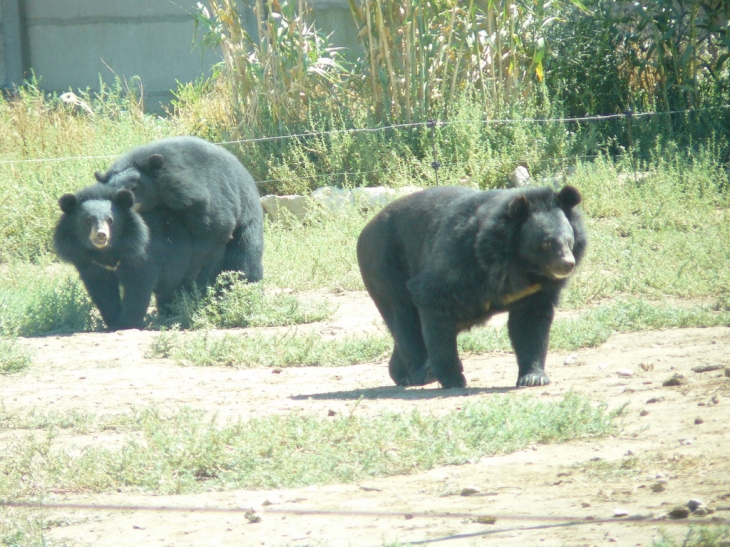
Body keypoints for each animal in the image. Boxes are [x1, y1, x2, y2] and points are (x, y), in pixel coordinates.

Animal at [53, 185, 199, 330]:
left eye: (110, 220)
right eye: (88, 220)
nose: (101, 235)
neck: (106, 252)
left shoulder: (139, 255)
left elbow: (137, 286)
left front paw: (127, 324)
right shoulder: (91, 262)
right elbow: (103, 291)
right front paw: (113, 322)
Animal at [94, 136, 264, 286]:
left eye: (133, 188)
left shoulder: (207, 196)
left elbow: (215, 229)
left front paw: (197, 280)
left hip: (247, 214)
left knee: (246, 251)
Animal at [354, 185, 584, 390]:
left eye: (569, 239)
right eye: (547, 242)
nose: (567, 264)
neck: (519, 265)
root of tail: (365, 228)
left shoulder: (536, 290)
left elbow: (530, 324)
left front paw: (533, 378)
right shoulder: (460, 260)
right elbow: (433, 300)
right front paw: (452, 378)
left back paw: (402, 374)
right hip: (384, 264)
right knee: (403, 317)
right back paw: (422, 372)